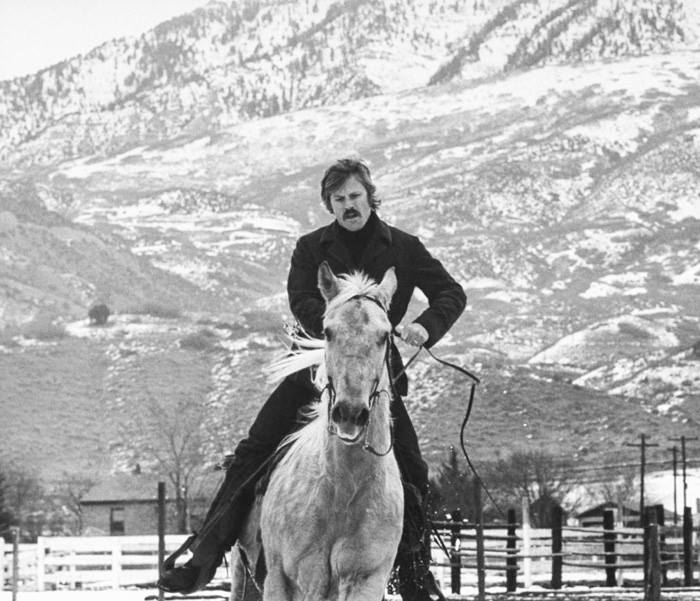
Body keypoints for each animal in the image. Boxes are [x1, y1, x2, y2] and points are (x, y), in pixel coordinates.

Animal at [232, 262, 402, 600]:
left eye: (384, 335)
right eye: (327, 332)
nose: (350, 414)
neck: (341, 492)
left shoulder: (366, 579)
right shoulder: (282, 579)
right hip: (242, 577)